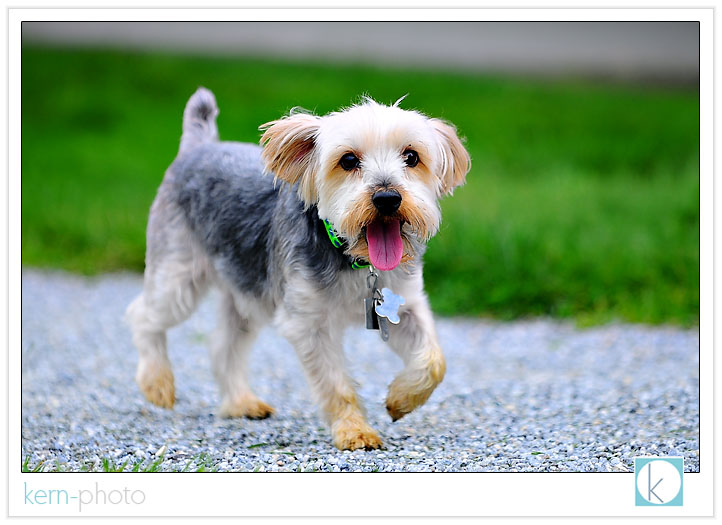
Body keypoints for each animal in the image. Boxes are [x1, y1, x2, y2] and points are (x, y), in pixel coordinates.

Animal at [126, 88, 470, 448]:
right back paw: (157, 383)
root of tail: (199, 145)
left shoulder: (402, 305)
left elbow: (434, 361)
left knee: (222, 344)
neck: (354, 258)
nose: (387, 197)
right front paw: (354, 430)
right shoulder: (309, 323)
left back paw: (241, 402)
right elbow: (335, 384)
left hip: (246, 289)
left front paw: (401, 399)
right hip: (178, 274)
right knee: (142, 315)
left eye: (412, 157)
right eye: (348, 161)